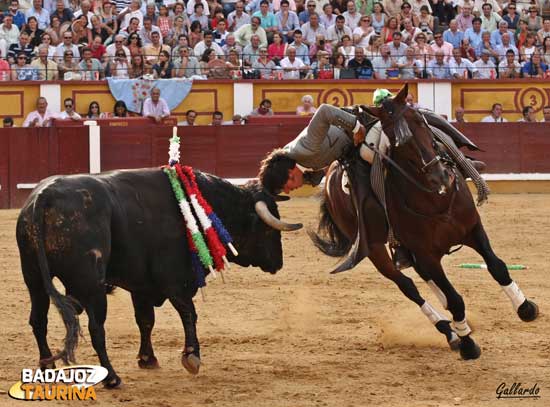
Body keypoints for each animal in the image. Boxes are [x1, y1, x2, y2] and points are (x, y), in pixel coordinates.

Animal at [16, 167, 302, 388]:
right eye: (268, 229)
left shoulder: (141, 286)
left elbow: (145, 321)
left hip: (34, 279)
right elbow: (189, 314)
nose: (278, 262)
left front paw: (147, 359)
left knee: (38, 320)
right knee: (96, 328)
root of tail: (44, 196)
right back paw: (112, 378)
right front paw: (192, 357)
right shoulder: (175, 281)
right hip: (91, 286)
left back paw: (46, 369)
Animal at [312, 84, 540, 362]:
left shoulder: (473, 229)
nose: (441, 177)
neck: (435, 199)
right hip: (376, 250)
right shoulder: (426, 254)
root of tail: (330, 176)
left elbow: (497, 267)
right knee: (408, 286)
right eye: (396, 141)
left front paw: (526, 308)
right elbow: (455, 299)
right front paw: (467, 344)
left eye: (420, 121)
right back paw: (450, 332)